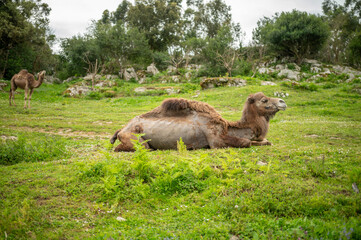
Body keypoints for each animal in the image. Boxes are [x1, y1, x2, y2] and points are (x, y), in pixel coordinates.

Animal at [110, 92, 286, 152]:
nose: (282, 102)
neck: (227, 127)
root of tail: (121, 129)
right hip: (134, 137)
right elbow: (245, 142)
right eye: (264, 100)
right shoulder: (215, 139)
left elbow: (265, 141)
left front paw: (266, 142)